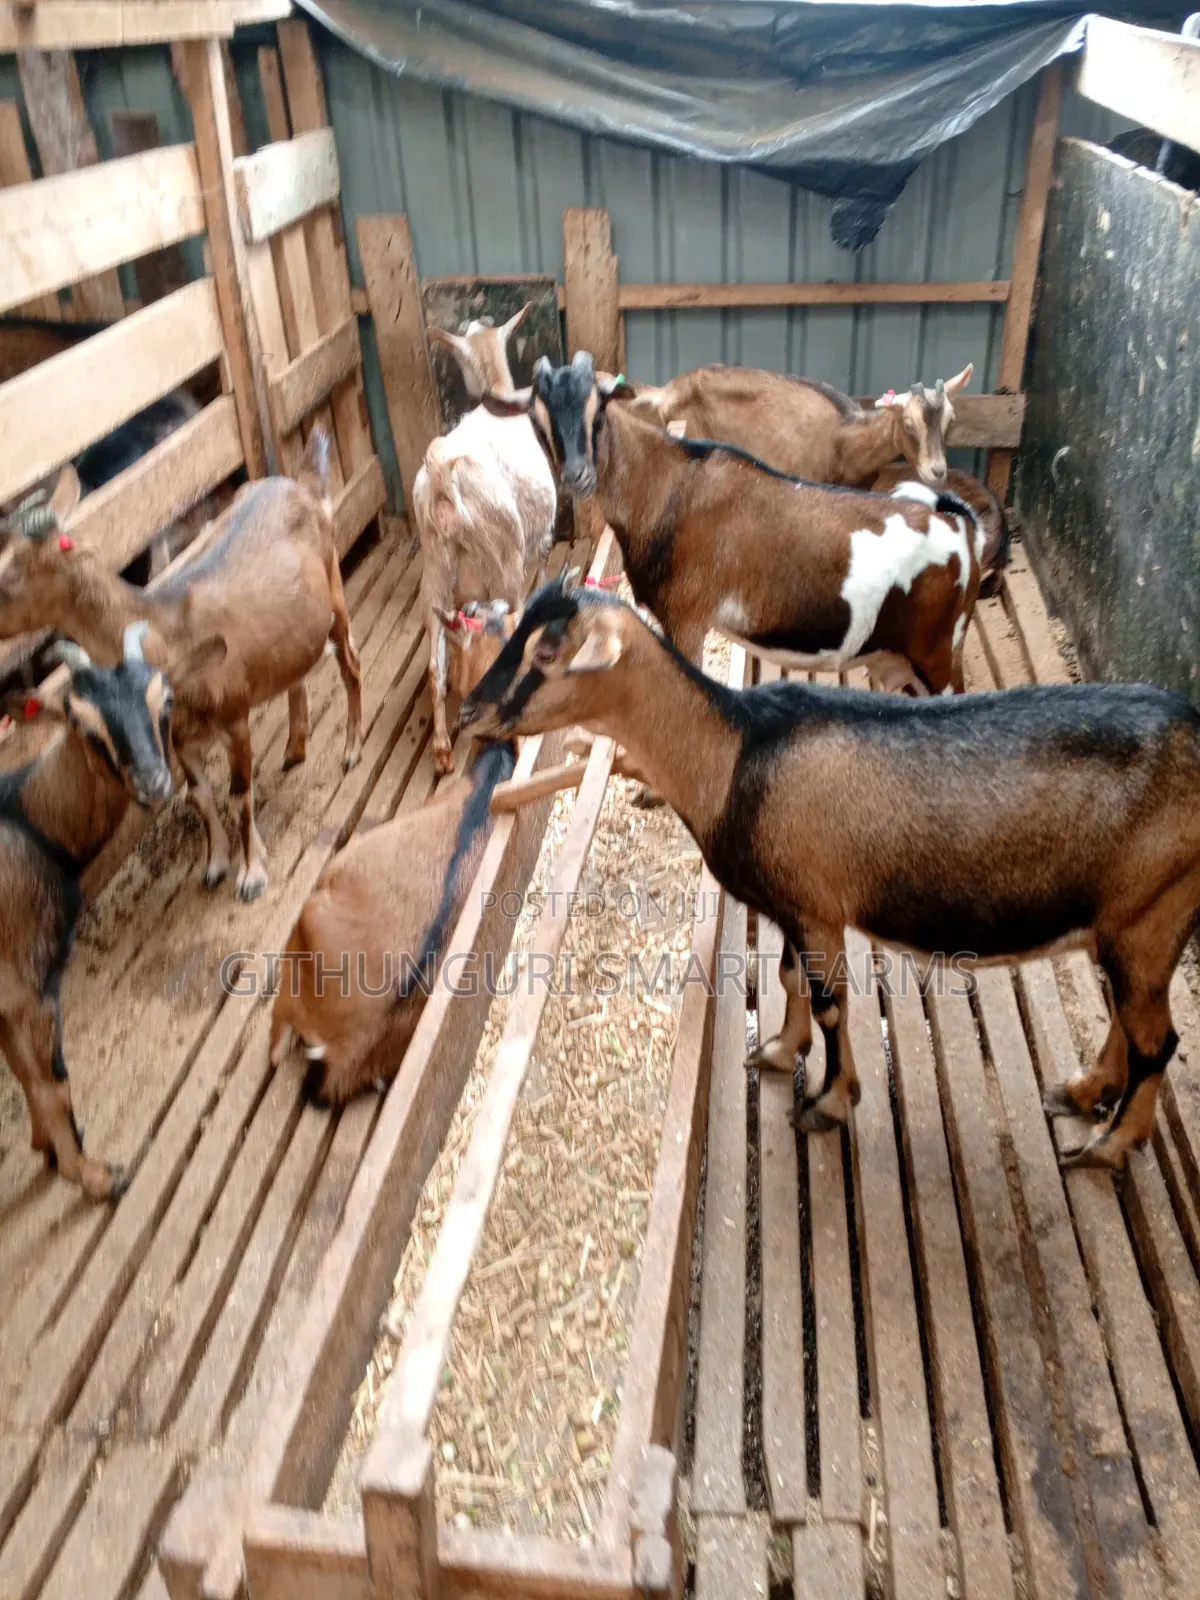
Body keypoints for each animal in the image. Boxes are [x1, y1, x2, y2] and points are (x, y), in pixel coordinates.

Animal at [0, 424, 362, 901]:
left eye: (9, 574)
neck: (170, 630)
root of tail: (299, 480)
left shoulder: (234, 717)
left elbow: (238, 795)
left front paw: (251, 875)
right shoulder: (179, 737)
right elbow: (200, 796)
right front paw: (216, 865)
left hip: (334, 593)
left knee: (351, 665)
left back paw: (351, 751)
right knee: (296, 672)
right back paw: (294, 748)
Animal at [0, 622, 185, 1198]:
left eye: (165, 700)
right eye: (82, 725)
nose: (152, 782)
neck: (30, 821)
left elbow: (25, 1073)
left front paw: (47, 1147)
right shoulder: (28, 983)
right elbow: (51, 1080)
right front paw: (92, 1175)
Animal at [269, 605, 517, 1104]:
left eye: (475, 625)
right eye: (497, 621)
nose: (476, 607)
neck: (493, 769)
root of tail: (348, 1054)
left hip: (303, 930)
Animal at [415, 306, 557, 773]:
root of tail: (442, 485)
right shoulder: (541, 535)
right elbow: (545, 561)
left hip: (434, 580)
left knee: (434, 669)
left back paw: (443, 748)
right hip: (504, 564)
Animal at [462, 575, 1200, 1174]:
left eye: (547, 653)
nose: (471, 713)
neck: (733, 755)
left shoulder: (816, 907)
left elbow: (832, 1003)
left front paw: (829, 1102)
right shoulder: (792, 905)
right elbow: (791, 979)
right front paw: (779, 1051)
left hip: (1152, 913)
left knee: (1158, 1040)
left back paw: (1109, 1145)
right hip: (1128, 923)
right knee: (1130, 1018)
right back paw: (1084, 1090)